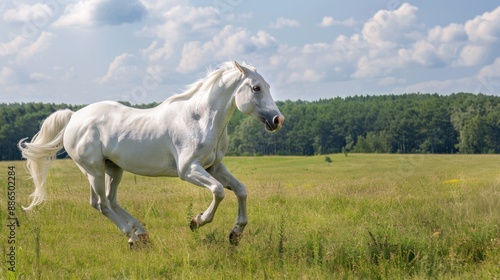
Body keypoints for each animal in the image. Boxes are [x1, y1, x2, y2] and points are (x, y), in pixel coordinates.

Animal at [19, 61, 284, 247]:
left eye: (269, 86)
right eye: (256, 88)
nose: (277, 120)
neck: (200, 119)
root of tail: (74, 116)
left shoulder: (214, 167)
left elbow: (240, 190)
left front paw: (235, 234)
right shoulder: (189, 170)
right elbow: (218, 192)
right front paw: (196, 222)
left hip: (113, 168)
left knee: (110, 200)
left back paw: (142, 233)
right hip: (93, 170)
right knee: (101, 204)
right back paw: (133, 238)